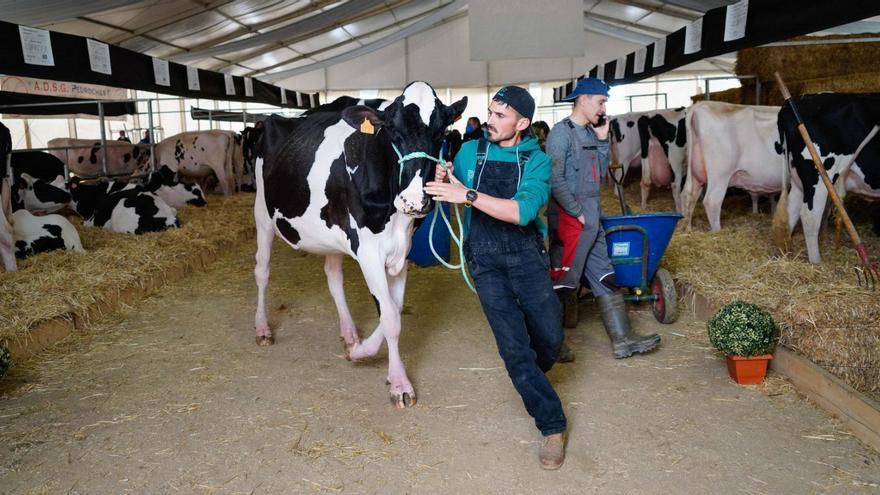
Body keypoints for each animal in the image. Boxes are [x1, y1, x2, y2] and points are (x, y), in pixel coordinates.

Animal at [253, 80, 468, 406]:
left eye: (441, 132)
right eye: (392, 132)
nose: (414, 201)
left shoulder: (401, 250)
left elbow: (395, 308)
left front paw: (360, 350)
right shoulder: (368, 250)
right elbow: (390, 317)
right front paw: (399, 383)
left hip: (329, 235)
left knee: (333, 278)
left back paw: (350, 333)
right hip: (262, 216)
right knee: (262, 272)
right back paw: (263, 328)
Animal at [776, 92, 880, 264]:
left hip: (799, 181)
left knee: (790, 214)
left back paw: (784, 254)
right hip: (818, 178)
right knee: (809, 216)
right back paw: (816, 262)